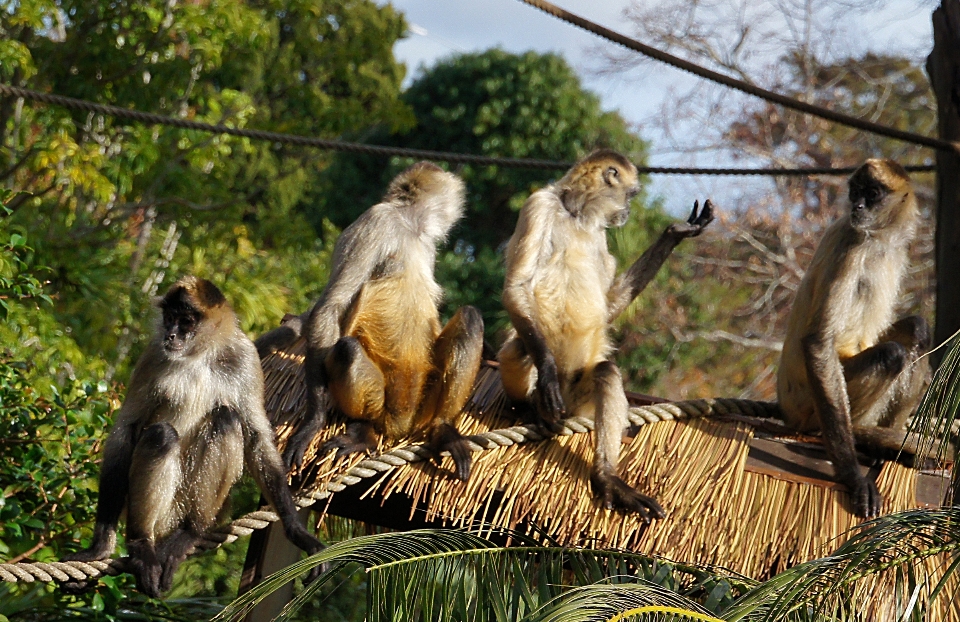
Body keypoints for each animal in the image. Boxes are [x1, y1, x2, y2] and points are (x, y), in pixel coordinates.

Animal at [66, 278, 326, 600]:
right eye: (169, 318)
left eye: (186, 321)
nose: (171, 334)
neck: (198, 356)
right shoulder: (155, 352)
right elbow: (126, 431)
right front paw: (99, 548)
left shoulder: (244, 357)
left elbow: (257, 438)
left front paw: (298, 533)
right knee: (162, 434)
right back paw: (142, 545)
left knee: (226, 418)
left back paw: (190, 532)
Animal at [496, 151, 712, 520]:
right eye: (631, 194)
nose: (627, 212)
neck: (576, 216)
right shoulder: (539, 204)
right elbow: (517, 286)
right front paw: (547, 373)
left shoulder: (599, 236)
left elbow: (608, 307)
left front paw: (675, 234)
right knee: (521, 348)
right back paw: (529, 404)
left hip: (581, 400)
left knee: (605, 371)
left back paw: (606, 477)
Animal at [776, 158, 932, 520]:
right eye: (855, 192)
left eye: (871, 194)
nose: (856, 206)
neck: (879, 241)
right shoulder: (853, 241)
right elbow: (818, 343)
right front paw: (852, 475)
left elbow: (913, 329)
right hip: (808, 407)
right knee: (891, 354)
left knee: (916, 337)